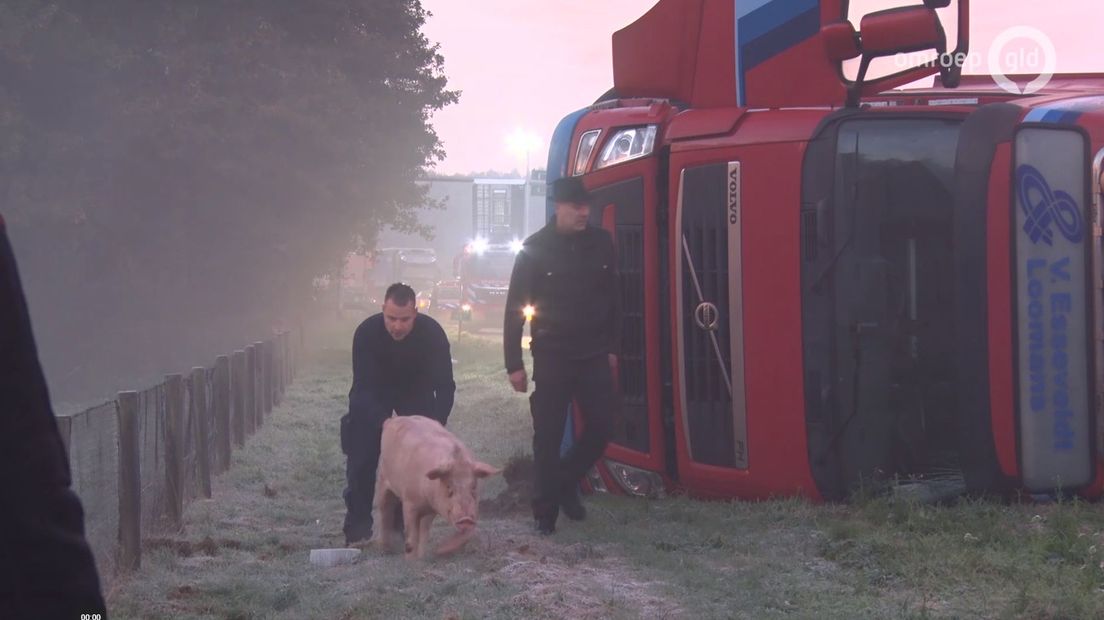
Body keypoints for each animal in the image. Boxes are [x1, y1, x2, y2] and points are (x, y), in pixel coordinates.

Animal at [377, 414, 503, 556]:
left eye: (474, 487)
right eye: (449, 488)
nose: (466, 519)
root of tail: (394, 419)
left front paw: (435, 552)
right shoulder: (409, 501)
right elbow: (412, 534)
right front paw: (412, 558)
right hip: (382, 477)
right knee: (385, 510)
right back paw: (386, 549)